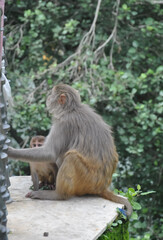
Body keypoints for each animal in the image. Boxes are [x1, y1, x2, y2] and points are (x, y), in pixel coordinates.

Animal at [7, 84, 132, 216]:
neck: (71, 109)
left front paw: (10, 151)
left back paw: (58, 194)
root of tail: (102, 187)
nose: (47, 98)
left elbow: (50, 153)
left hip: (87, 181)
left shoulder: (63, 123)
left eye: (51, 94)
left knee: (71, 158)